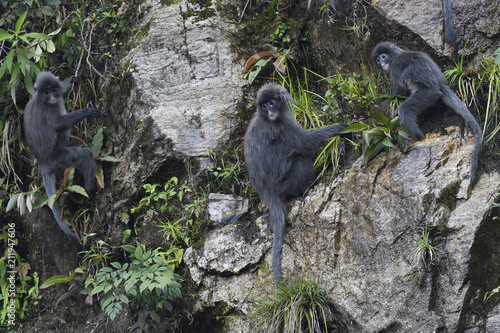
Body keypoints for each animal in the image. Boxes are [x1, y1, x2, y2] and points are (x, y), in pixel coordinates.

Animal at [23, 72, 100, 244]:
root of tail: (43, 160)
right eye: (46, 92)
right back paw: (90, 189)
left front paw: (68, 82)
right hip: (60, 158)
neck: (44, 100)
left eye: (52, 90)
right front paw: (85, 112)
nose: (52, 96)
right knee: (84, 155)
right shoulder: (48, 111)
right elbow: (58, 125)